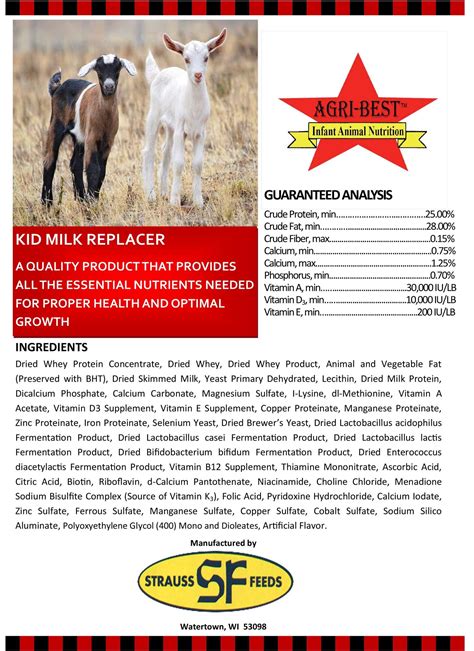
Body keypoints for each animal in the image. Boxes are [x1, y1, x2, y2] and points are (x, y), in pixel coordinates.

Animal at [41, 54, 136, 205]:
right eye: (99, 71)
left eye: (117, 69)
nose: (109, 86)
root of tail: (57, 88)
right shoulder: (92, 138)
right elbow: (93, 169)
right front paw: (92, 202)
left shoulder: (108, 141)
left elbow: (102, 171)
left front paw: (93, 199)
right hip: (56, 124)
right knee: (50, 160)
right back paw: (47, 203)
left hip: (79, 136)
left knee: (75, 164)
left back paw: (80, 199)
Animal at [142, 29, 227, 208]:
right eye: (186, 59)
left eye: (206, 57)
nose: (198, 75)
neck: (194, 108)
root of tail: (158, 74)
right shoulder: (181, 129)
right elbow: (179, 163)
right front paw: (175, 201)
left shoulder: (200, 132)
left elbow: (198, 164)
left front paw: (198, 201)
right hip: (154, 116)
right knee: (148, 152)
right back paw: (150, 194)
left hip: (170, 127)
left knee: (165, 151)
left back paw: (163, 192)